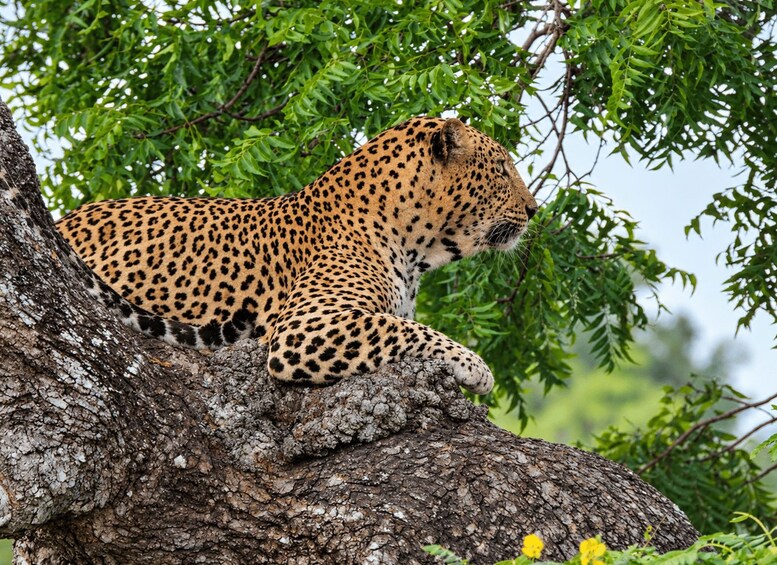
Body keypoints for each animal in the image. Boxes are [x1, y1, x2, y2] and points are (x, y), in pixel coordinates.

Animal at [57, 117, 538, 394]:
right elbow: (410, 331)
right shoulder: (305, 328)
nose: (535, 209)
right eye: (500, 170)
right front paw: (477, 368)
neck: (413, 245)